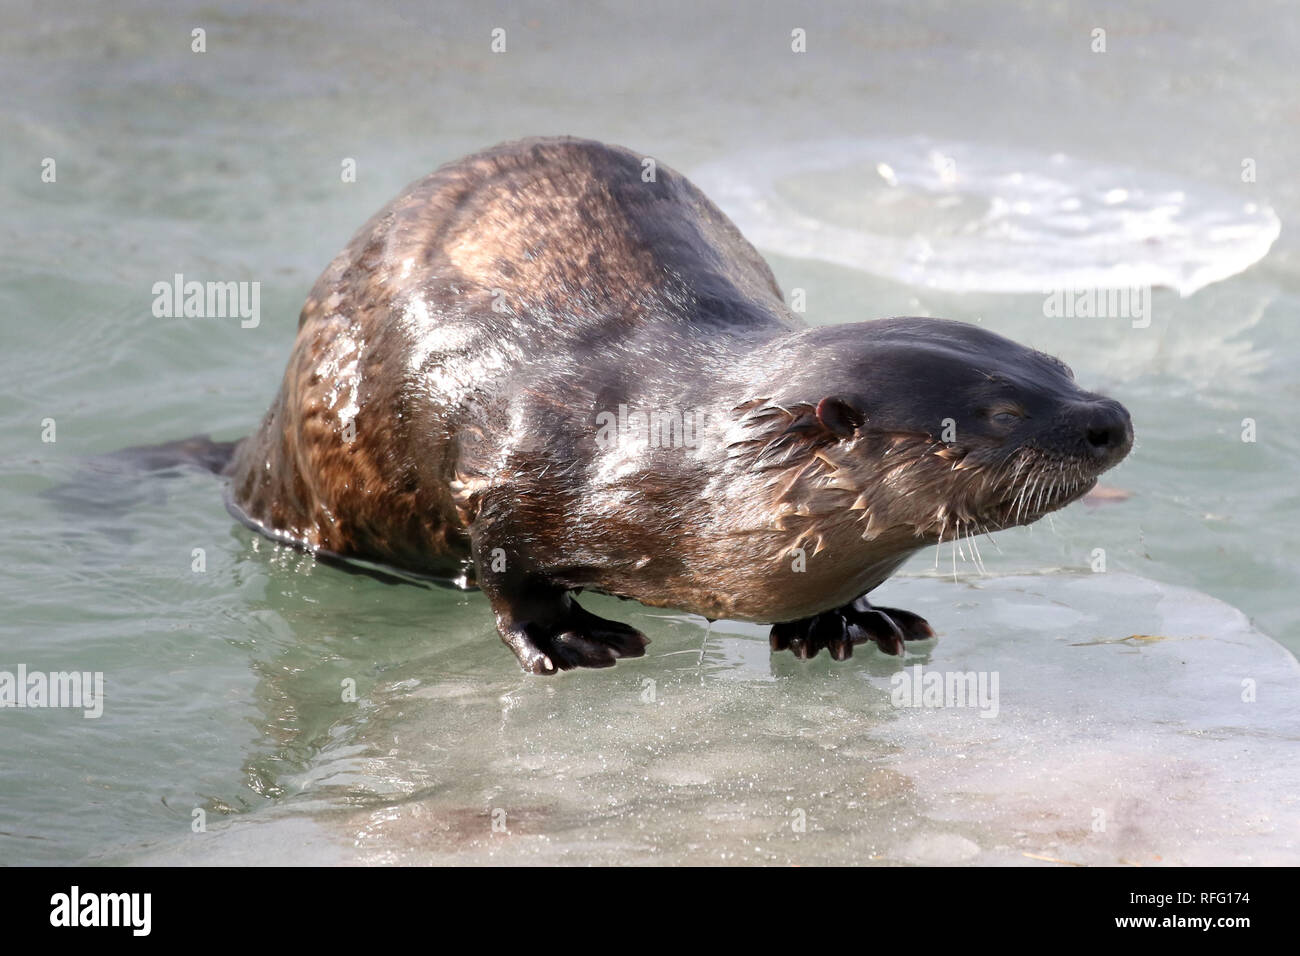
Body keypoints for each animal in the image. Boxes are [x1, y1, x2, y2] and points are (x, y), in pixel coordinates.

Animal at [220, 136, 1133, 673]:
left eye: (1056, 363)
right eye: (997, 413)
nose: (1111, 419)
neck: (661, 458)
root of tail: (261, 446)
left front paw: (845, 621)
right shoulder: (512, 461)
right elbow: (507, 566)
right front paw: (571, 638)